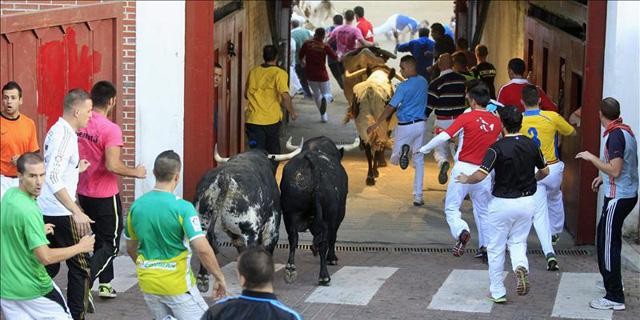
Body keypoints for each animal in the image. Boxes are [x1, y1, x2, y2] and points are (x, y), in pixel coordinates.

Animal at [282, 136, 360, 284]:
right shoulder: (338, 213)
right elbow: (332, 236)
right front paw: (332, 258)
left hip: (289, 213)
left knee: (293, 238)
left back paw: (290, 268)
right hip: (330, 215)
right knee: (325, 239)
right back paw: (324, 275)